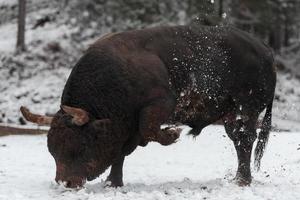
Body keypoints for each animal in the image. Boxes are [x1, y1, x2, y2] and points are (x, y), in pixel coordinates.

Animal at [19, 24, 276, 188]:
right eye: (53, 151)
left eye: (79, 145)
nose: (66, 183)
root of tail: (265, 50)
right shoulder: (126, 127)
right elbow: (121, 152)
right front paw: (113, 182)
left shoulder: (159, 105)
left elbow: (149, 130)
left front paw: (173, 133)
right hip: (231, 116)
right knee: (238, 141)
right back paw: (240, 178)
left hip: (246, 109)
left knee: (245, 140)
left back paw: (242, 180)